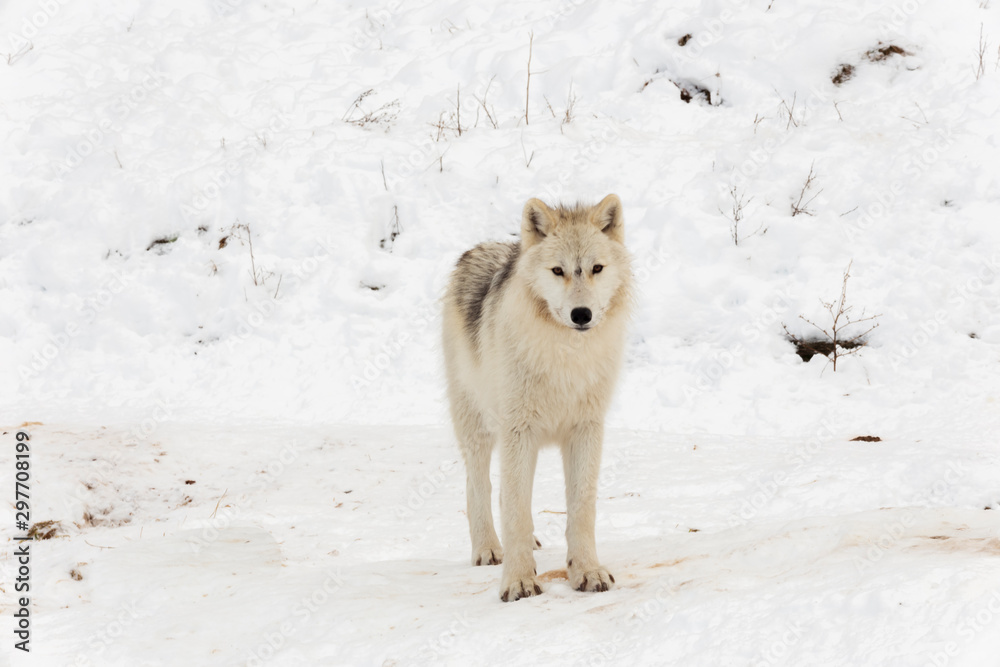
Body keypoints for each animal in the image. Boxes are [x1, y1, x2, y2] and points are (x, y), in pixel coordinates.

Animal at [442, 194, 633, 602]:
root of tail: (483, 246)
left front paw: (587, 571)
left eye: (596, 268)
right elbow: (514, 509)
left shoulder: (586, 429)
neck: (566, 357)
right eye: (558, 271)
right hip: (477, 428)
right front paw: (518, 580)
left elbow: (581, 507)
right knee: (480, 487)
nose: (582, 314)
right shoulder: (519, 430)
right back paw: (488, 549)